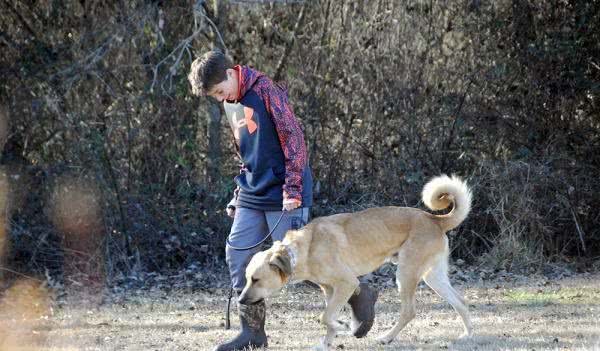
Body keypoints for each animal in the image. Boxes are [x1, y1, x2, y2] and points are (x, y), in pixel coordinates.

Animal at [238, 175, 474, 350]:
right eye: (247, 278)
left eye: (256, 279)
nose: (240, 300)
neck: (301, 251)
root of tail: (435, 219)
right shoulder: (330, 289)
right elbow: (328, 318)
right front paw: (328, 341)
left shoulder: (347, 283)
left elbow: (325, 317)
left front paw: (343, 326)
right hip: (433, 278)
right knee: (461, 301)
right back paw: (467, 335)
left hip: (406, 274)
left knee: (409, 311)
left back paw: (386, 338)